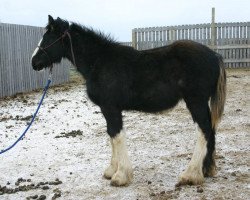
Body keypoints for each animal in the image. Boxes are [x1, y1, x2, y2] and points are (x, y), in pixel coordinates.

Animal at [31, 15, 227, 186]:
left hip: (196, 101)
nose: (34, 62)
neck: (99, 61)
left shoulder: (110, 107)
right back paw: (206, 170)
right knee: (210, 130)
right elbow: (111, 135)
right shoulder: (108, 109)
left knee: (204, 130)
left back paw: (191, 175)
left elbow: (116, 135)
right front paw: (111, 171)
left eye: (49, 37)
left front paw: (120, 176)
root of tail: (215, 56)